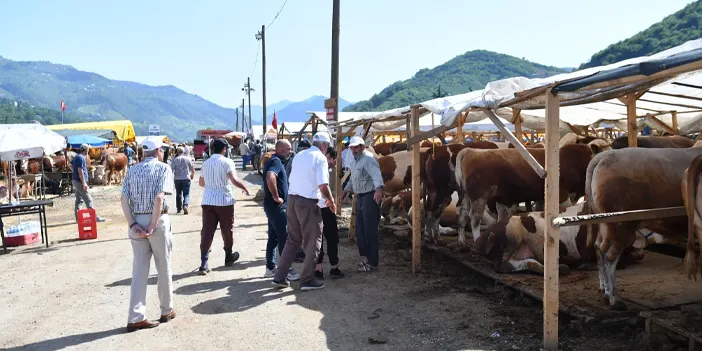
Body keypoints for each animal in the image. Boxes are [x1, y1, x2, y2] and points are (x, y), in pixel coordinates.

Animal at [588, 147, 702, 310]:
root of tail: (602, 156)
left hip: (605, 225)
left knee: (599, 248)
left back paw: (604, 289)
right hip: (621, 226)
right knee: (609, 255)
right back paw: (613, 298)